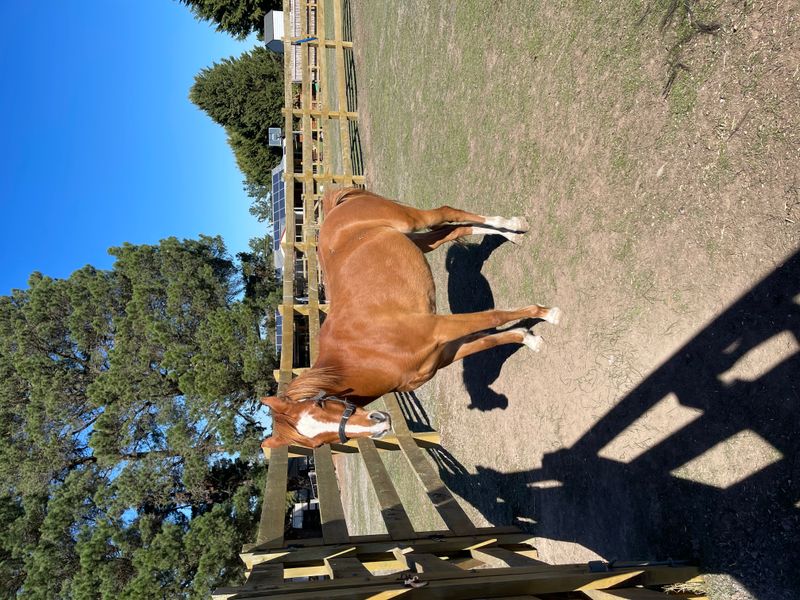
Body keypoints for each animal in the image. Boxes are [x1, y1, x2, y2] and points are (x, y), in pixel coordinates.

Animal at [261, 188, 561, 448]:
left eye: (320, 403)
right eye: (318, 443)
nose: (380, 423)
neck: (368, 354)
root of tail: (335, 212)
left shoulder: (438, 327)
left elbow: (495, 317)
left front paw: (549, 314)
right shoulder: (446, 352)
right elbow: (492, 339)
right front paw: (530, 338)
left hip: (411, 222)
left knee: (446, 213)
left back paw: (513, 224)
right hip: (418, 242)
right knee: (453, 230)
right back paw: (511, 234)